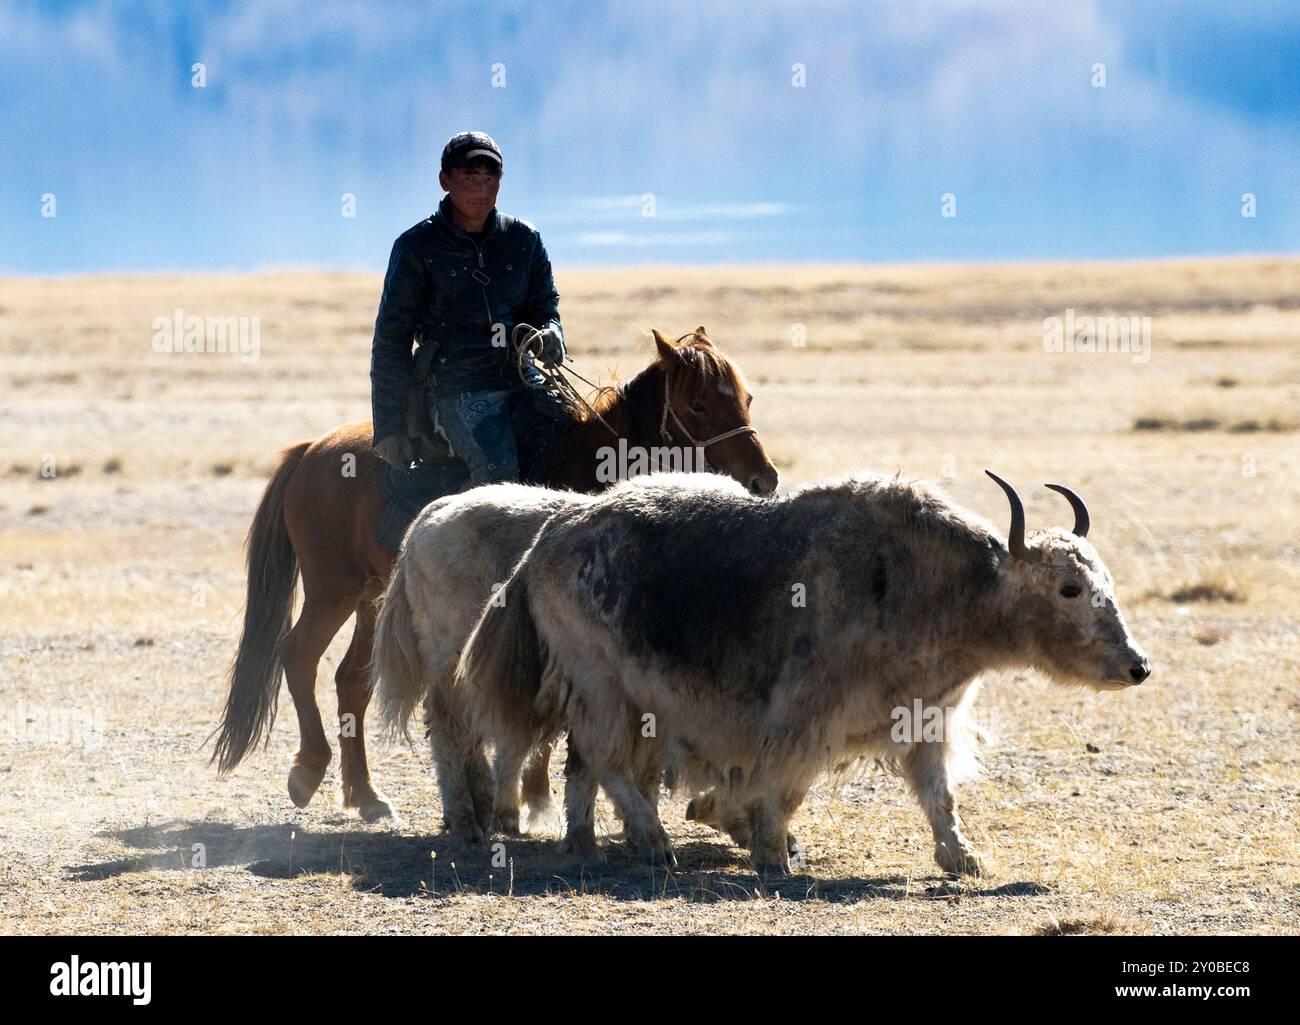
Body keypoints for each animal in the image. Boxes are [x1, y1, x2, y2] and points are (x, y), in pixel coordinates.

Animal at [213, 323, 774, 822]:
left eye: (746, 398)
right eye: (698, 405)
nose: (763, 479)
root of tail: (310, 450)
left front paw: (533, 794)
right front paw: (529, 796)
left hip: (374, 598)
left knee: (353, 678)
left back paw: (366, 796)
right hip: (333, 590)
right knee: (298, 654)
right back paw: (309, 770)